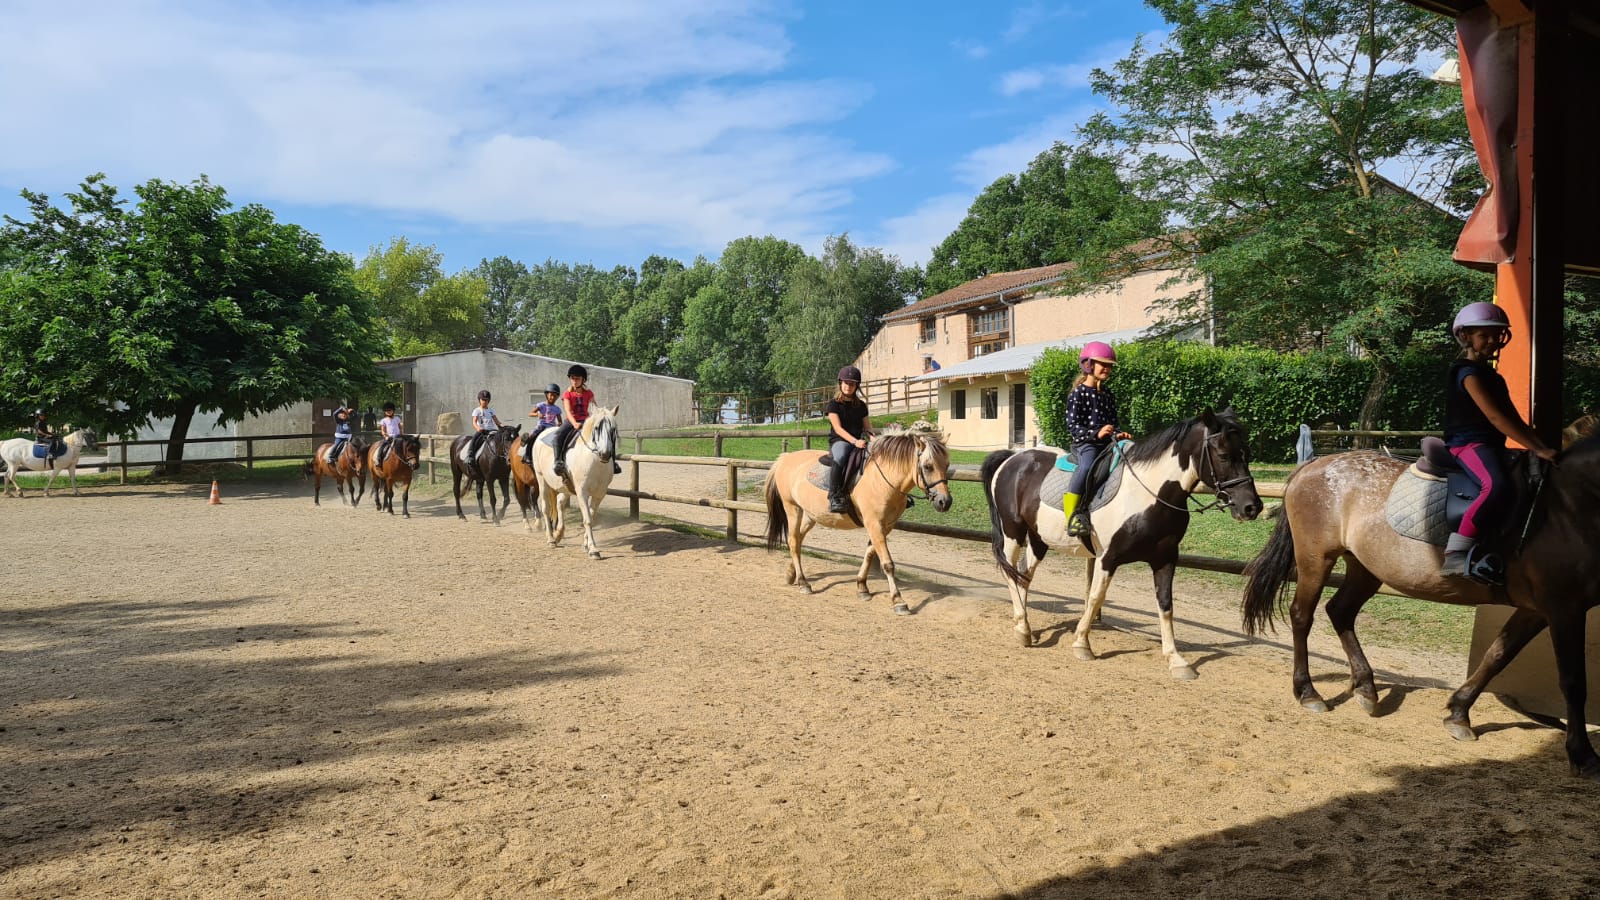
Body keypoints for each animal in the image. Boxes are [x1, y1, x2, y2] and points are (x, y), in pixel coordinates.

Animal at [531, 405, 617, 557]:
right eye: (596, 428)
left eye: (612, 429)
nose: (605, 454)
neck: (594, 461)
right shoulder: (582, 492)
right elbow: (587, 520)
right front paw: (593, 549)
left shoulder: (599, 494)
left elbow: (591, 517)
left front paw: (586, 544)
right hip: (542, 480)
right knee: (546, 509)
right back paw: (551, 539)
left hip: (565, 487)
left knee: (559, 503)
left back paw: (558, 534)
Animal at [761, 429, 947, 611]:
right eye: (928, 466)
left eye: (946, 465)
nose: (944, 502)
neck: (881, 479)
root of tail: (785, 458)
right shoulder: (874, 524)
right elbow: (887, 563)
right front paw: (898, 600)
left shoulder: (885, 525)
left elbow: (870, 554)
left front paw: (862, 587)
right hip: (793, 508)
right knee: (793, 541)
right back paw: (803, 583)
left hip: (811, 515)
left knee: (798, 541)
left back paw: (791, 574)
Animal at [972, 406, 1260, 672]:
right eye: (1223, 455)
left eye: (1246, 454)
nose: (1251, 507)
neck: (1149, 495)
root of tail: (1013, 457)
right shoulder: (1107, 558)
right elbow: (1096, 597)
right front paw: (1082, 645)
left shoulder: (1166, 559)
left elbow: (1166, 605)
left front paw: (1176, 659)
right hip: (1013, 532)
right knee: (1010, 573)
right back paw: (1023, 628)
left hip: (1038, 538)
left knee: (1024, 575)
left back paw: (1023, 625)